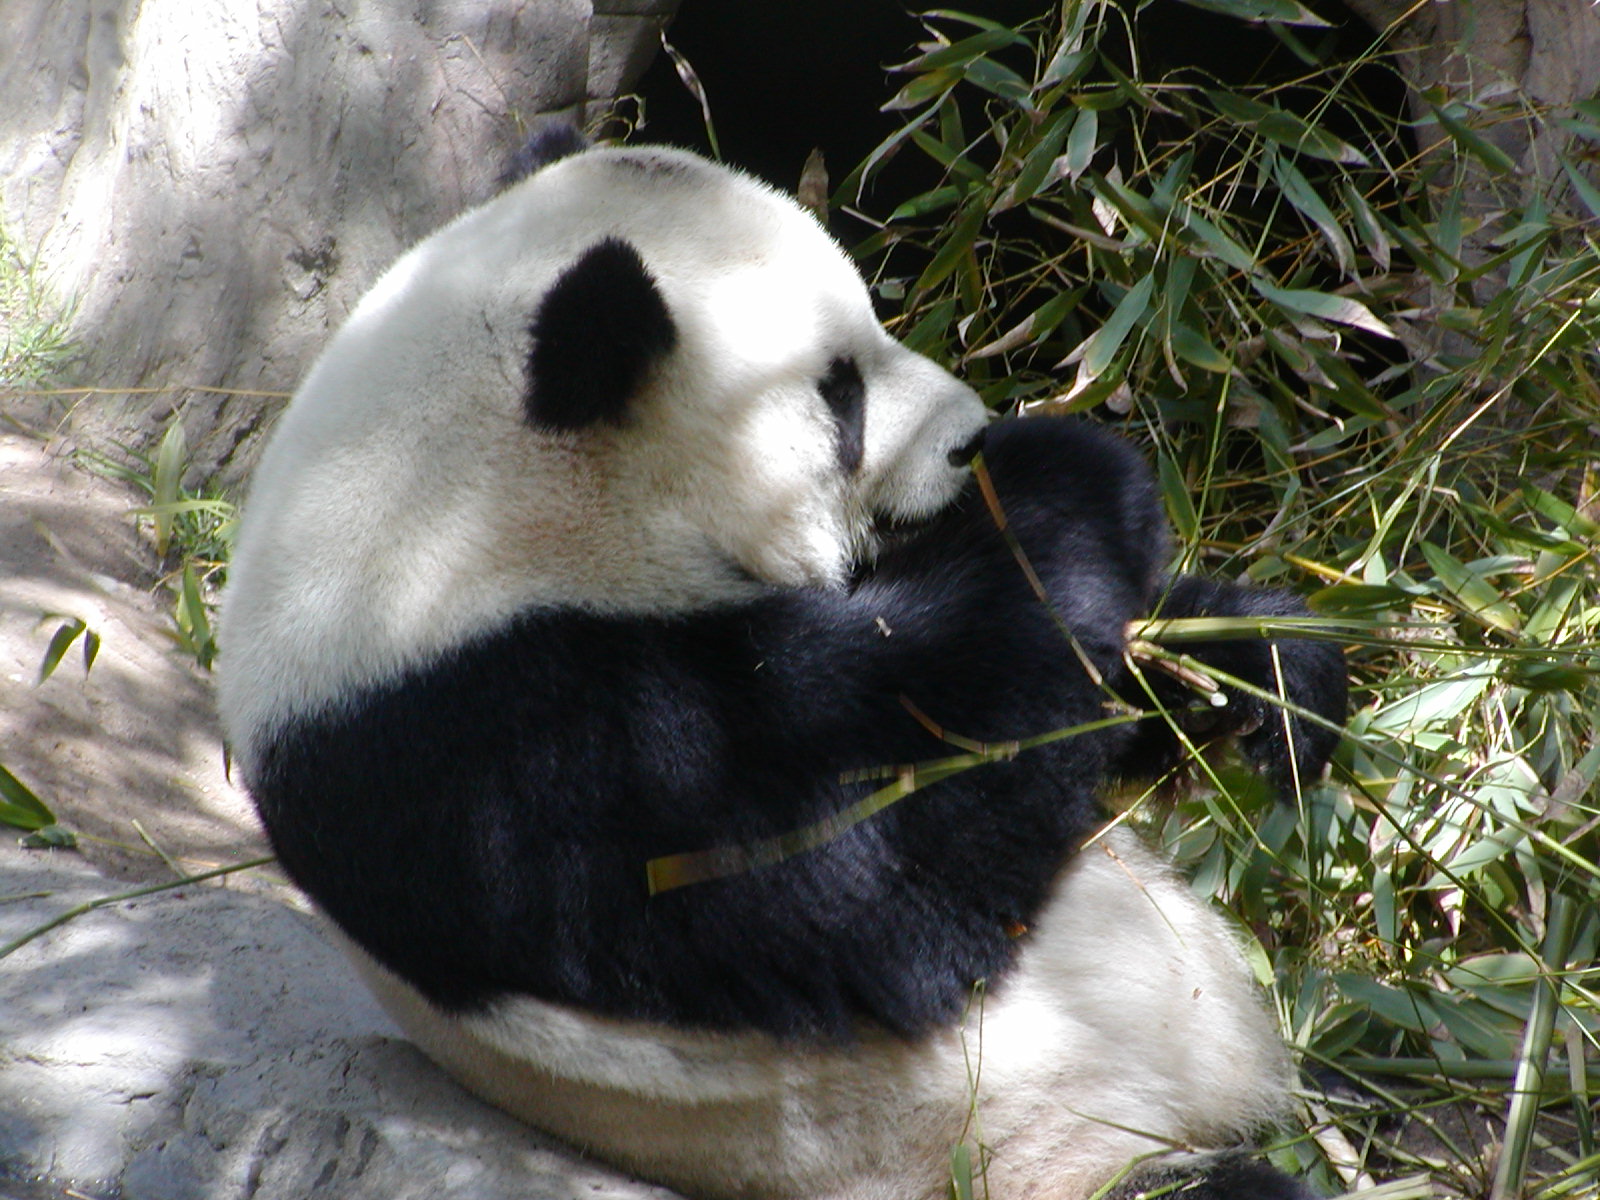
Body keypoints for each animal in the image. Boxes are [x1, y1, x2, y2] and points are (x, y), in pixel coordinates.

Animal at [218, 131, 1347, 1200]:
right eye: (839, 397)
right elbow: (875, 845)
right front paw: (1066, 473)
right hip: (1025, 1150)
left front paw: (1265, 675)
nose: (968, 440)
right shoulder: (505, 741)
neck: (440, 508)